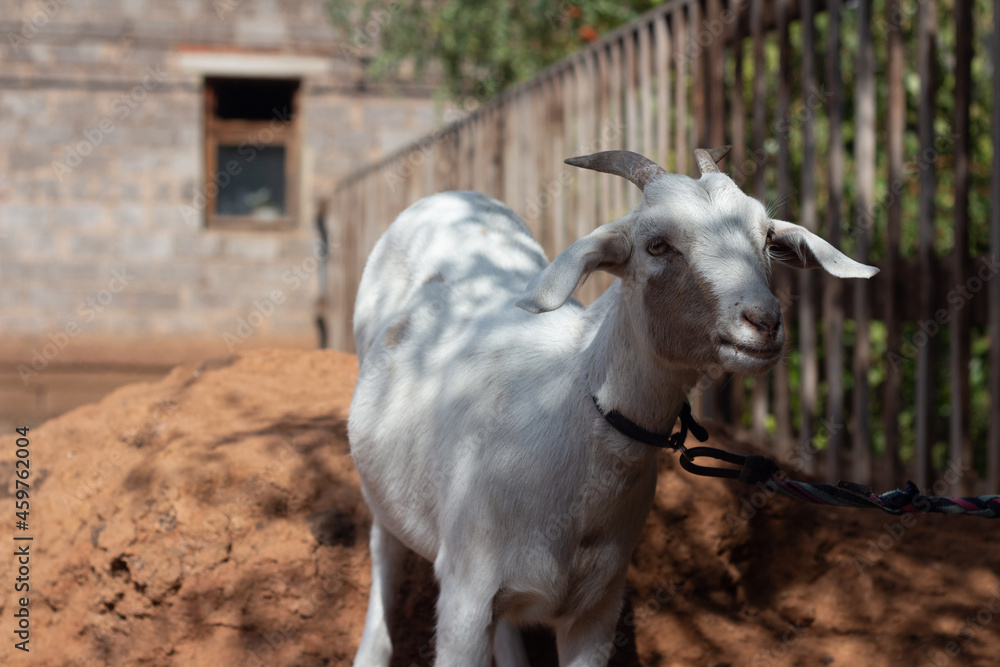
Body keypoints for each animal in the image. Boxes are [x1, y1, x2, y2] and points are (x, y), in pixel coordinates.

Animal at [348, 148, 877, 666]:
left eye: (767, 236)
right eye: (657, 245)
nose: (764, 322)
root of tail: (450, 195)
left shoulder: (596, 608)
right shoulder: (465, 596)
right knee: (383, 553)